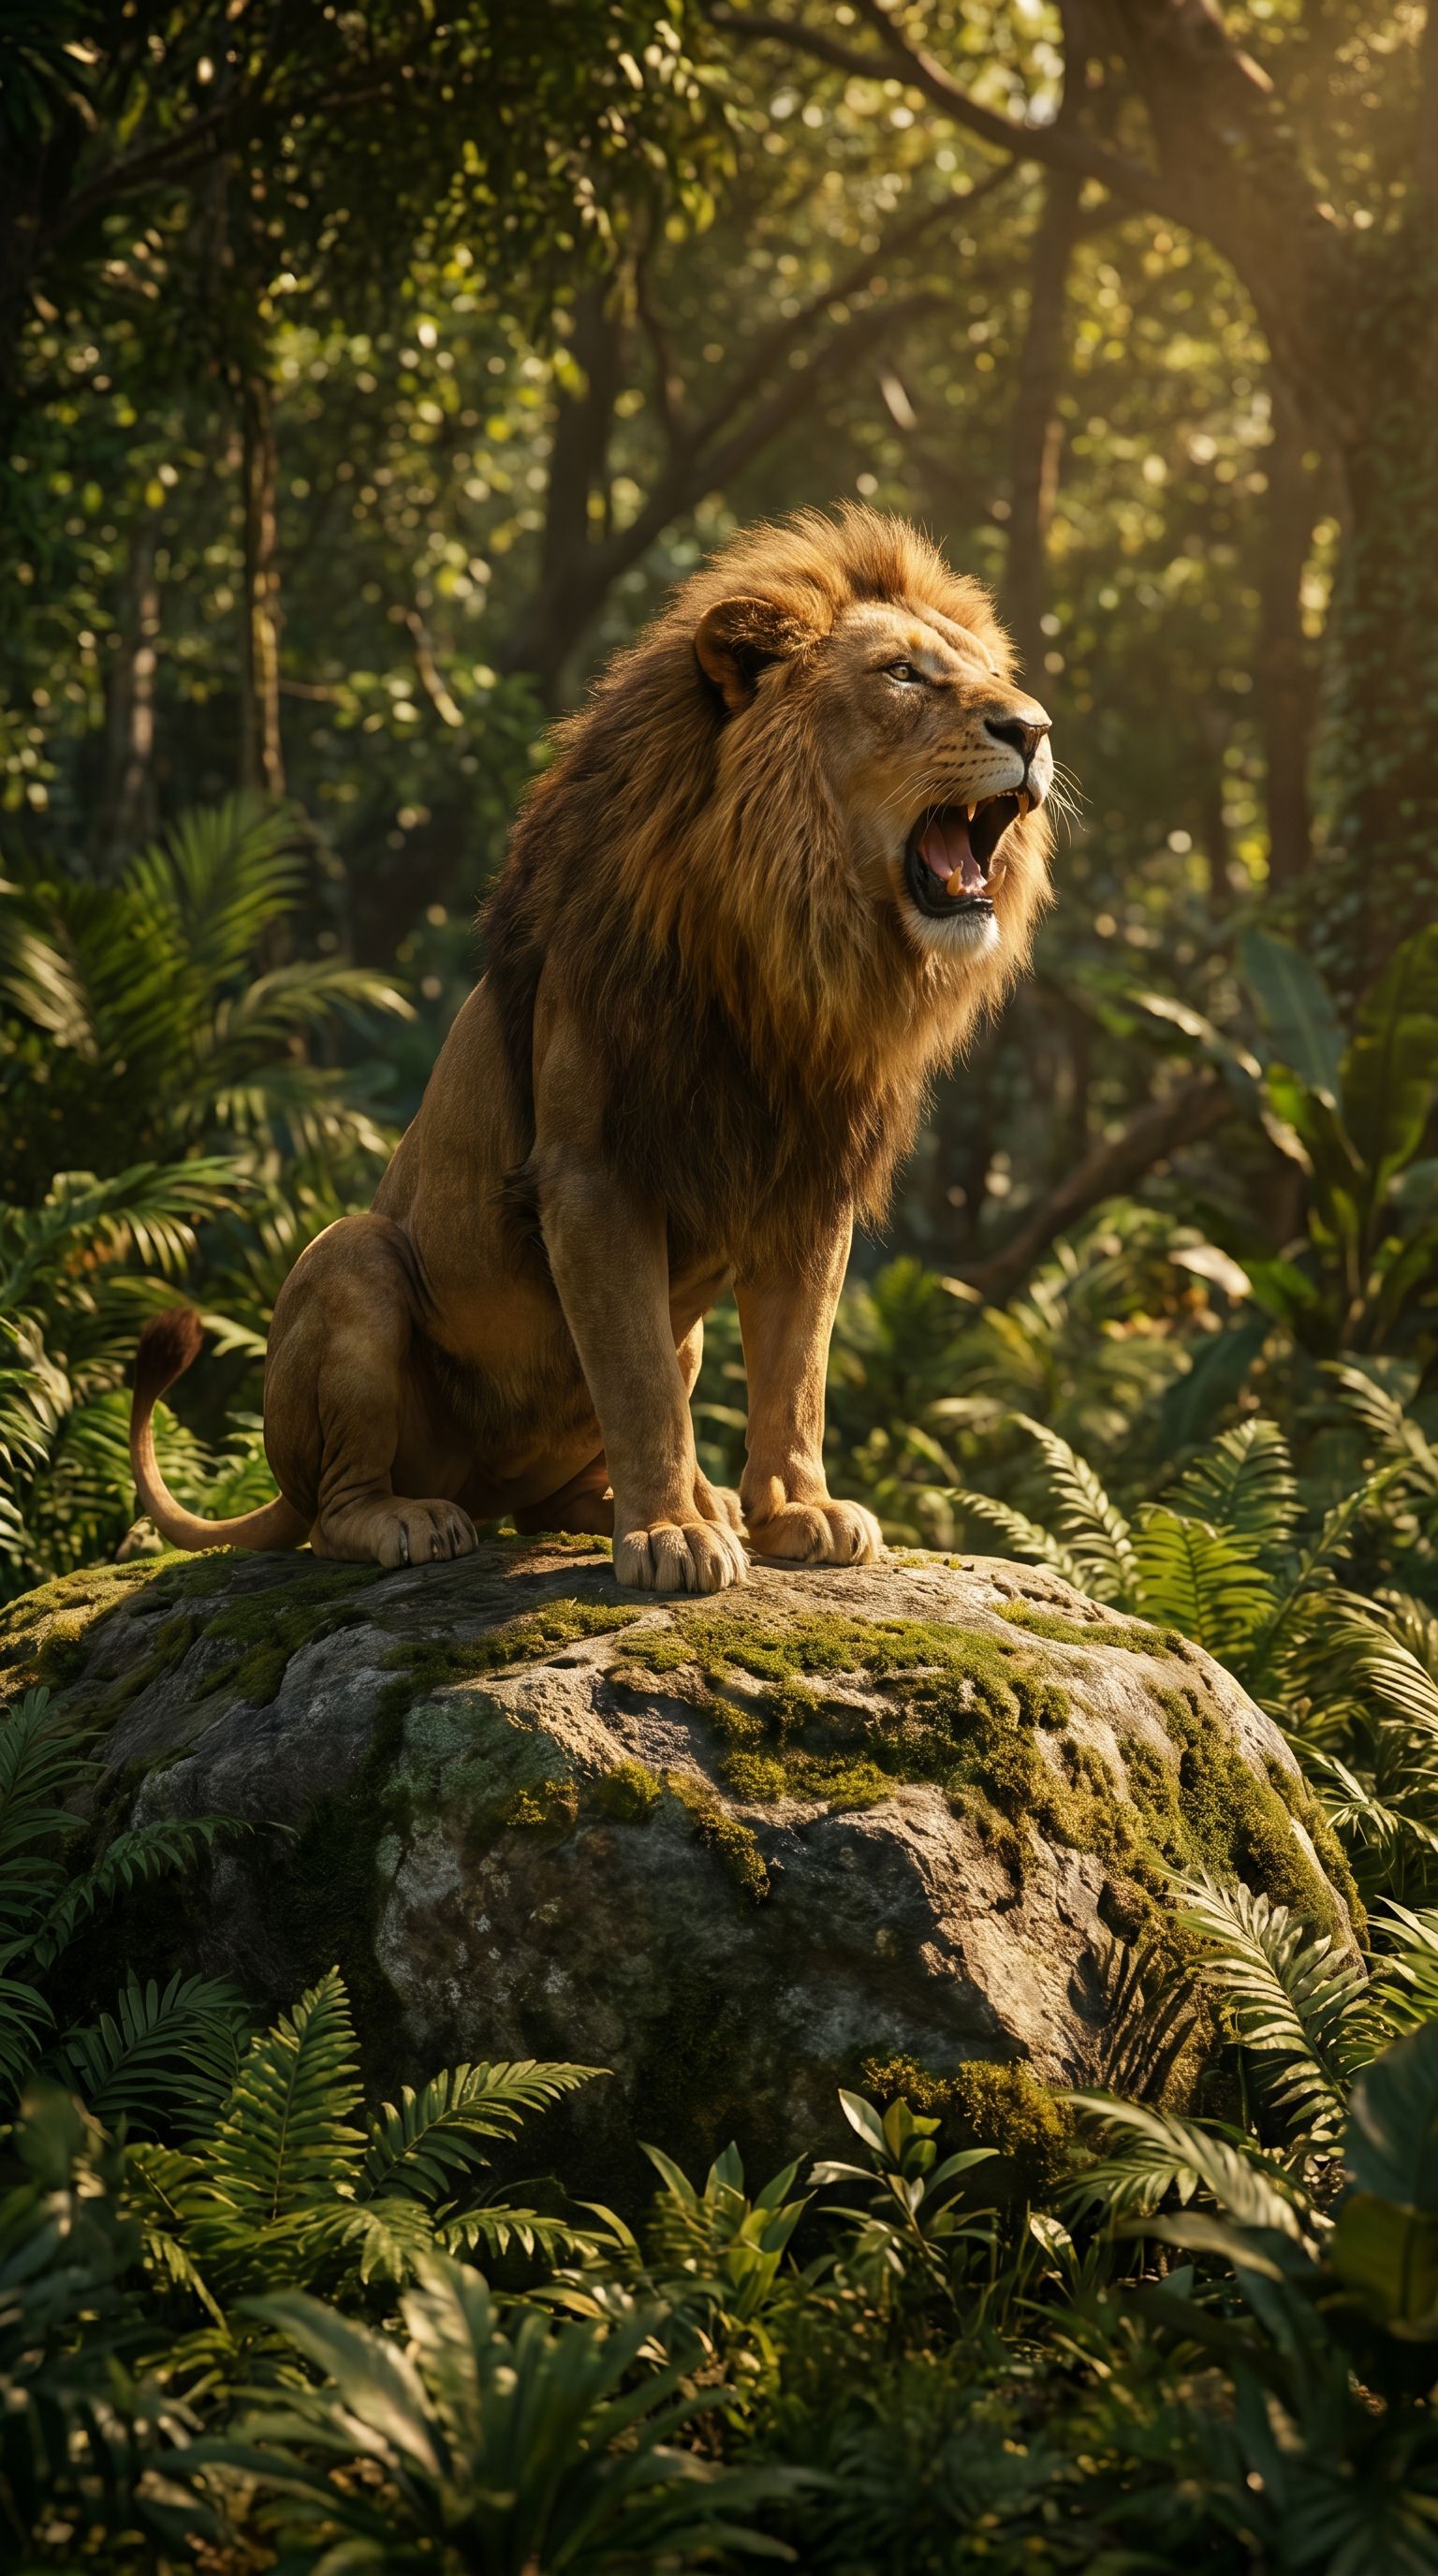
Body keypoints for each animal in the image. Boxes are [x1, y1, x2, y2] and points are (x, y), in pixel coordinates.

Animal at [129, 506, 1055, 1594]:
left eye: (985, 670)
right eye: (903, 674)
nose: (1034, 729)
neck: (787, 960)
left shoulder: (807, 1182)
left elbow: (797, 1374)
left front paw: (797, 1510)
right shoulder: (592, 1175)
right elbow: (638, 1376)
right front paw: (670, 1537)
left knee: (552, 1494)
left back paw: (661, 1504)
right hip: (351, 1256)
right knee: (335, 1507)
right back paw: (416, 1520)